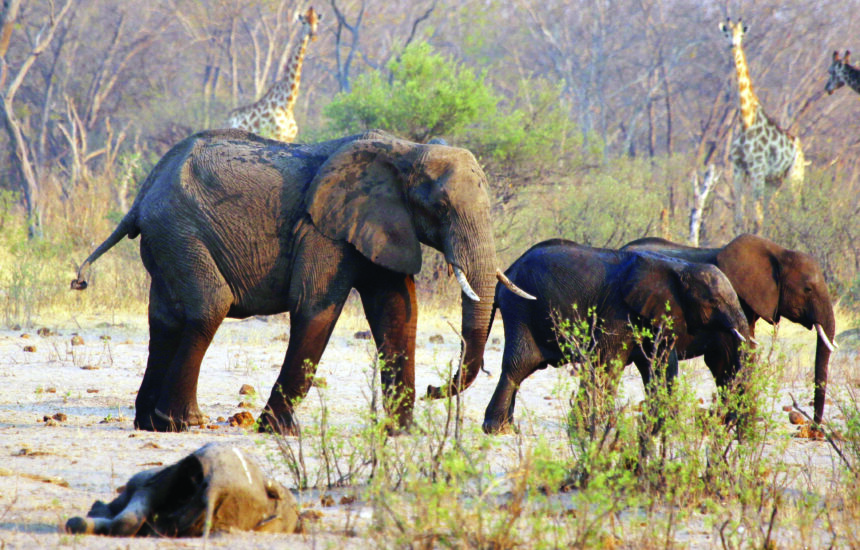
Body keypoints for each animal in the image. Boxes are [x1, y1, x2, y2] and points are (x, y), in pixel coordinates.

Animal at [71, 128, 532, 434]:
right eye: (440, 207)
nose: (438, 389)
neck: (407, 150)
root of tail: (141, 197)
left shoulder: (381, 225)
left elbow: (398, 313)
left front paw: (401, 433)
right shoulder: (323, 230)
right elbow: (316, 309)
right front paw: (276, 431)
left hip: (166, 239)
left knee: (164, 318)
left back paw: (149, 424)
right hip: (180, 231)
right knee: (208, 307)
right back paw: (183, 424)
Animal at [227, 7, 321, 142]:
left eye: (317, 22)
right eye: (304, 22)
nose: (313, 35)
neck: (288, 104)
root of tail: (229, 120)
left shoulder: (288, 139)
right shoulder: (275, 135)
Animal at [483, 239, 751, 434]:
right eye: (714, 302)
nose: (718, 421)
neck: (678, 268)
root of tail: (507, 271)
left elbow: (661, 365)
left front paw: (662, 429)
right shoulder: (618, 310)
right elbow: (607, 363)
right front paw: (590, 429)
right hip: (520, 307)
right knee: (520, 364)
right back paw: (498, 430)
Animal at [719, 18, 805, 234]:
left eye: (741, 34)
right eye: (727, 33)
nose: (733, 44)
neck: (746, 120)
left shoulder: (757, 168)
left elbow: (757, 219)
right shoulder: (738, 168)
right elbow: (739, 219)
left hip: (795, 177)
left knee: (793, 213)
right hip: (774, 181)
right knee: (773, 210)